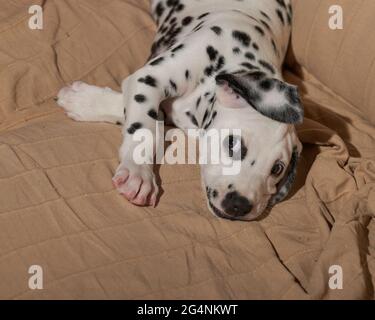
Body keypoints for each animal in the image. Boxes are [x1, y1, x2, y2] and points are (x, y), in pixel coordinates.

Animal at [58, 0, 306, 220]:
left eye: (277, 169)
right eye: (232, 143)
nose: (239, 205)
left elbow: (148, 117)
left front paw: (81, 100)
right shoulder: (148, 78)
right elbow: (145, 127)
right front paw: (138, 173)